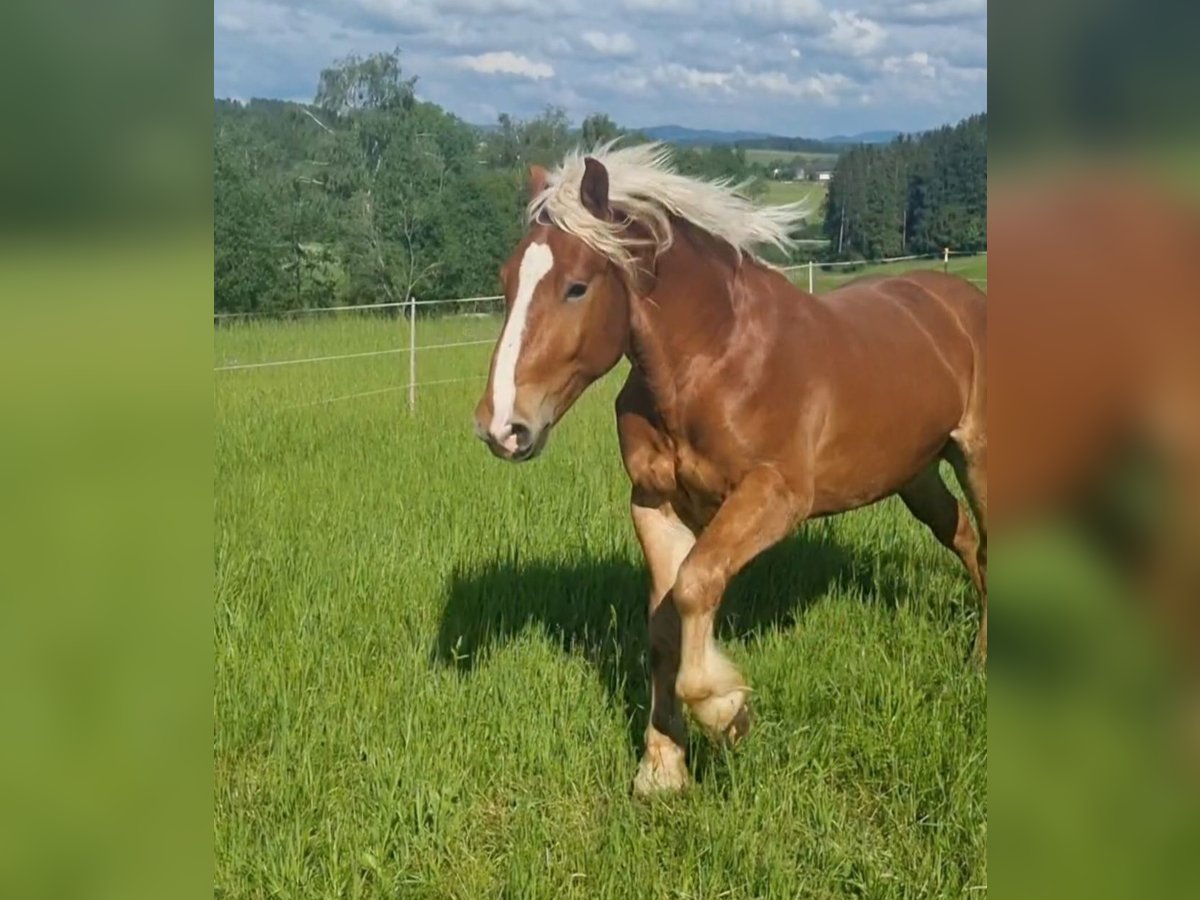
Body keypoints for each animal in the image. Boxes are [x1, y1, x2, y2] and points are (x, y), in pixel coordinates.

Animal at [468, 142, 984, 796]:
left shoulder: (772, 498)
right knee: (965, 538)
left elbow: (695, 587)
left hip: (981, 459)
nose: (501, 427)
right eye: (507, 281)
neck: (715, 362)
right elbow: (665, 624)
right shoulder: (655, 503)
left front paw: (725, 710)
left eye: (576, 287)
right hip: (917, 476)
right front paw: (662, 767)